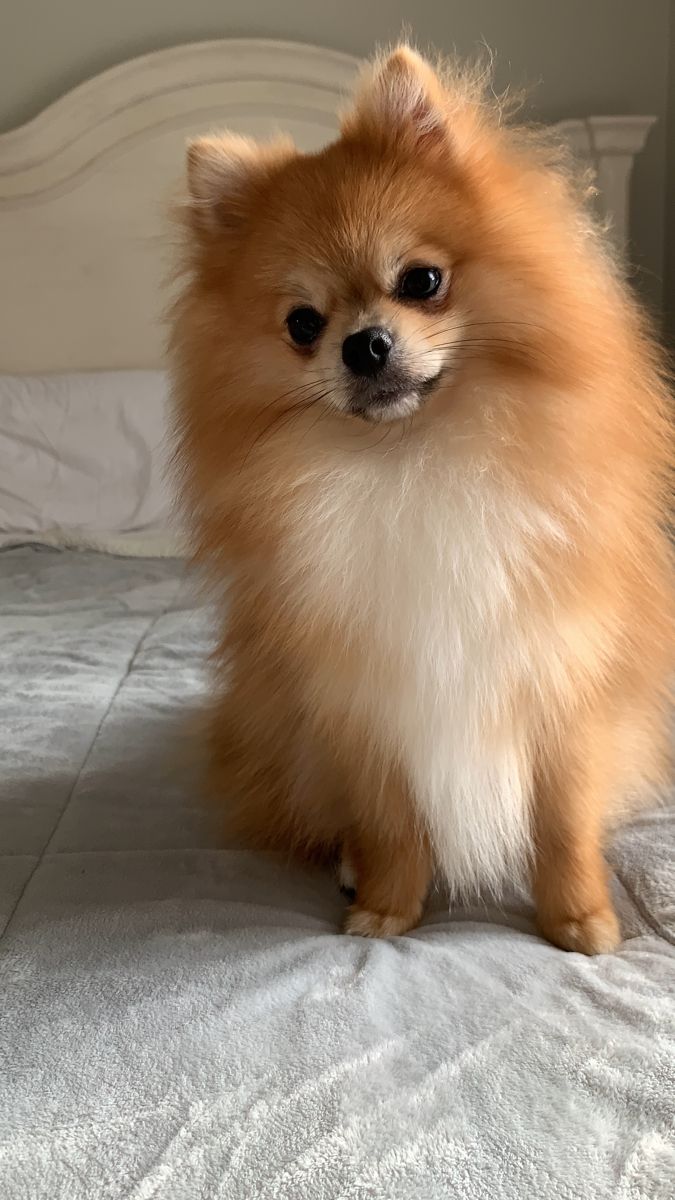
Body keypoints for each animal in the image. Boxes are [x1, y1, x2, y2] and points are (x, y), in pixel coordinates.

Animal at [169, 44, 672, 955]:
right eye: (302, 324)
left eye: (422, 279)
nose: (364, 344)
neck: (416, 460)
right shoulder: (369, 700)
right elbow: (391, 822)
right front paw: (386, 907)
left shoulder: (559, 676)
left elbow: (561, 819)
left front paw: (578, 917)